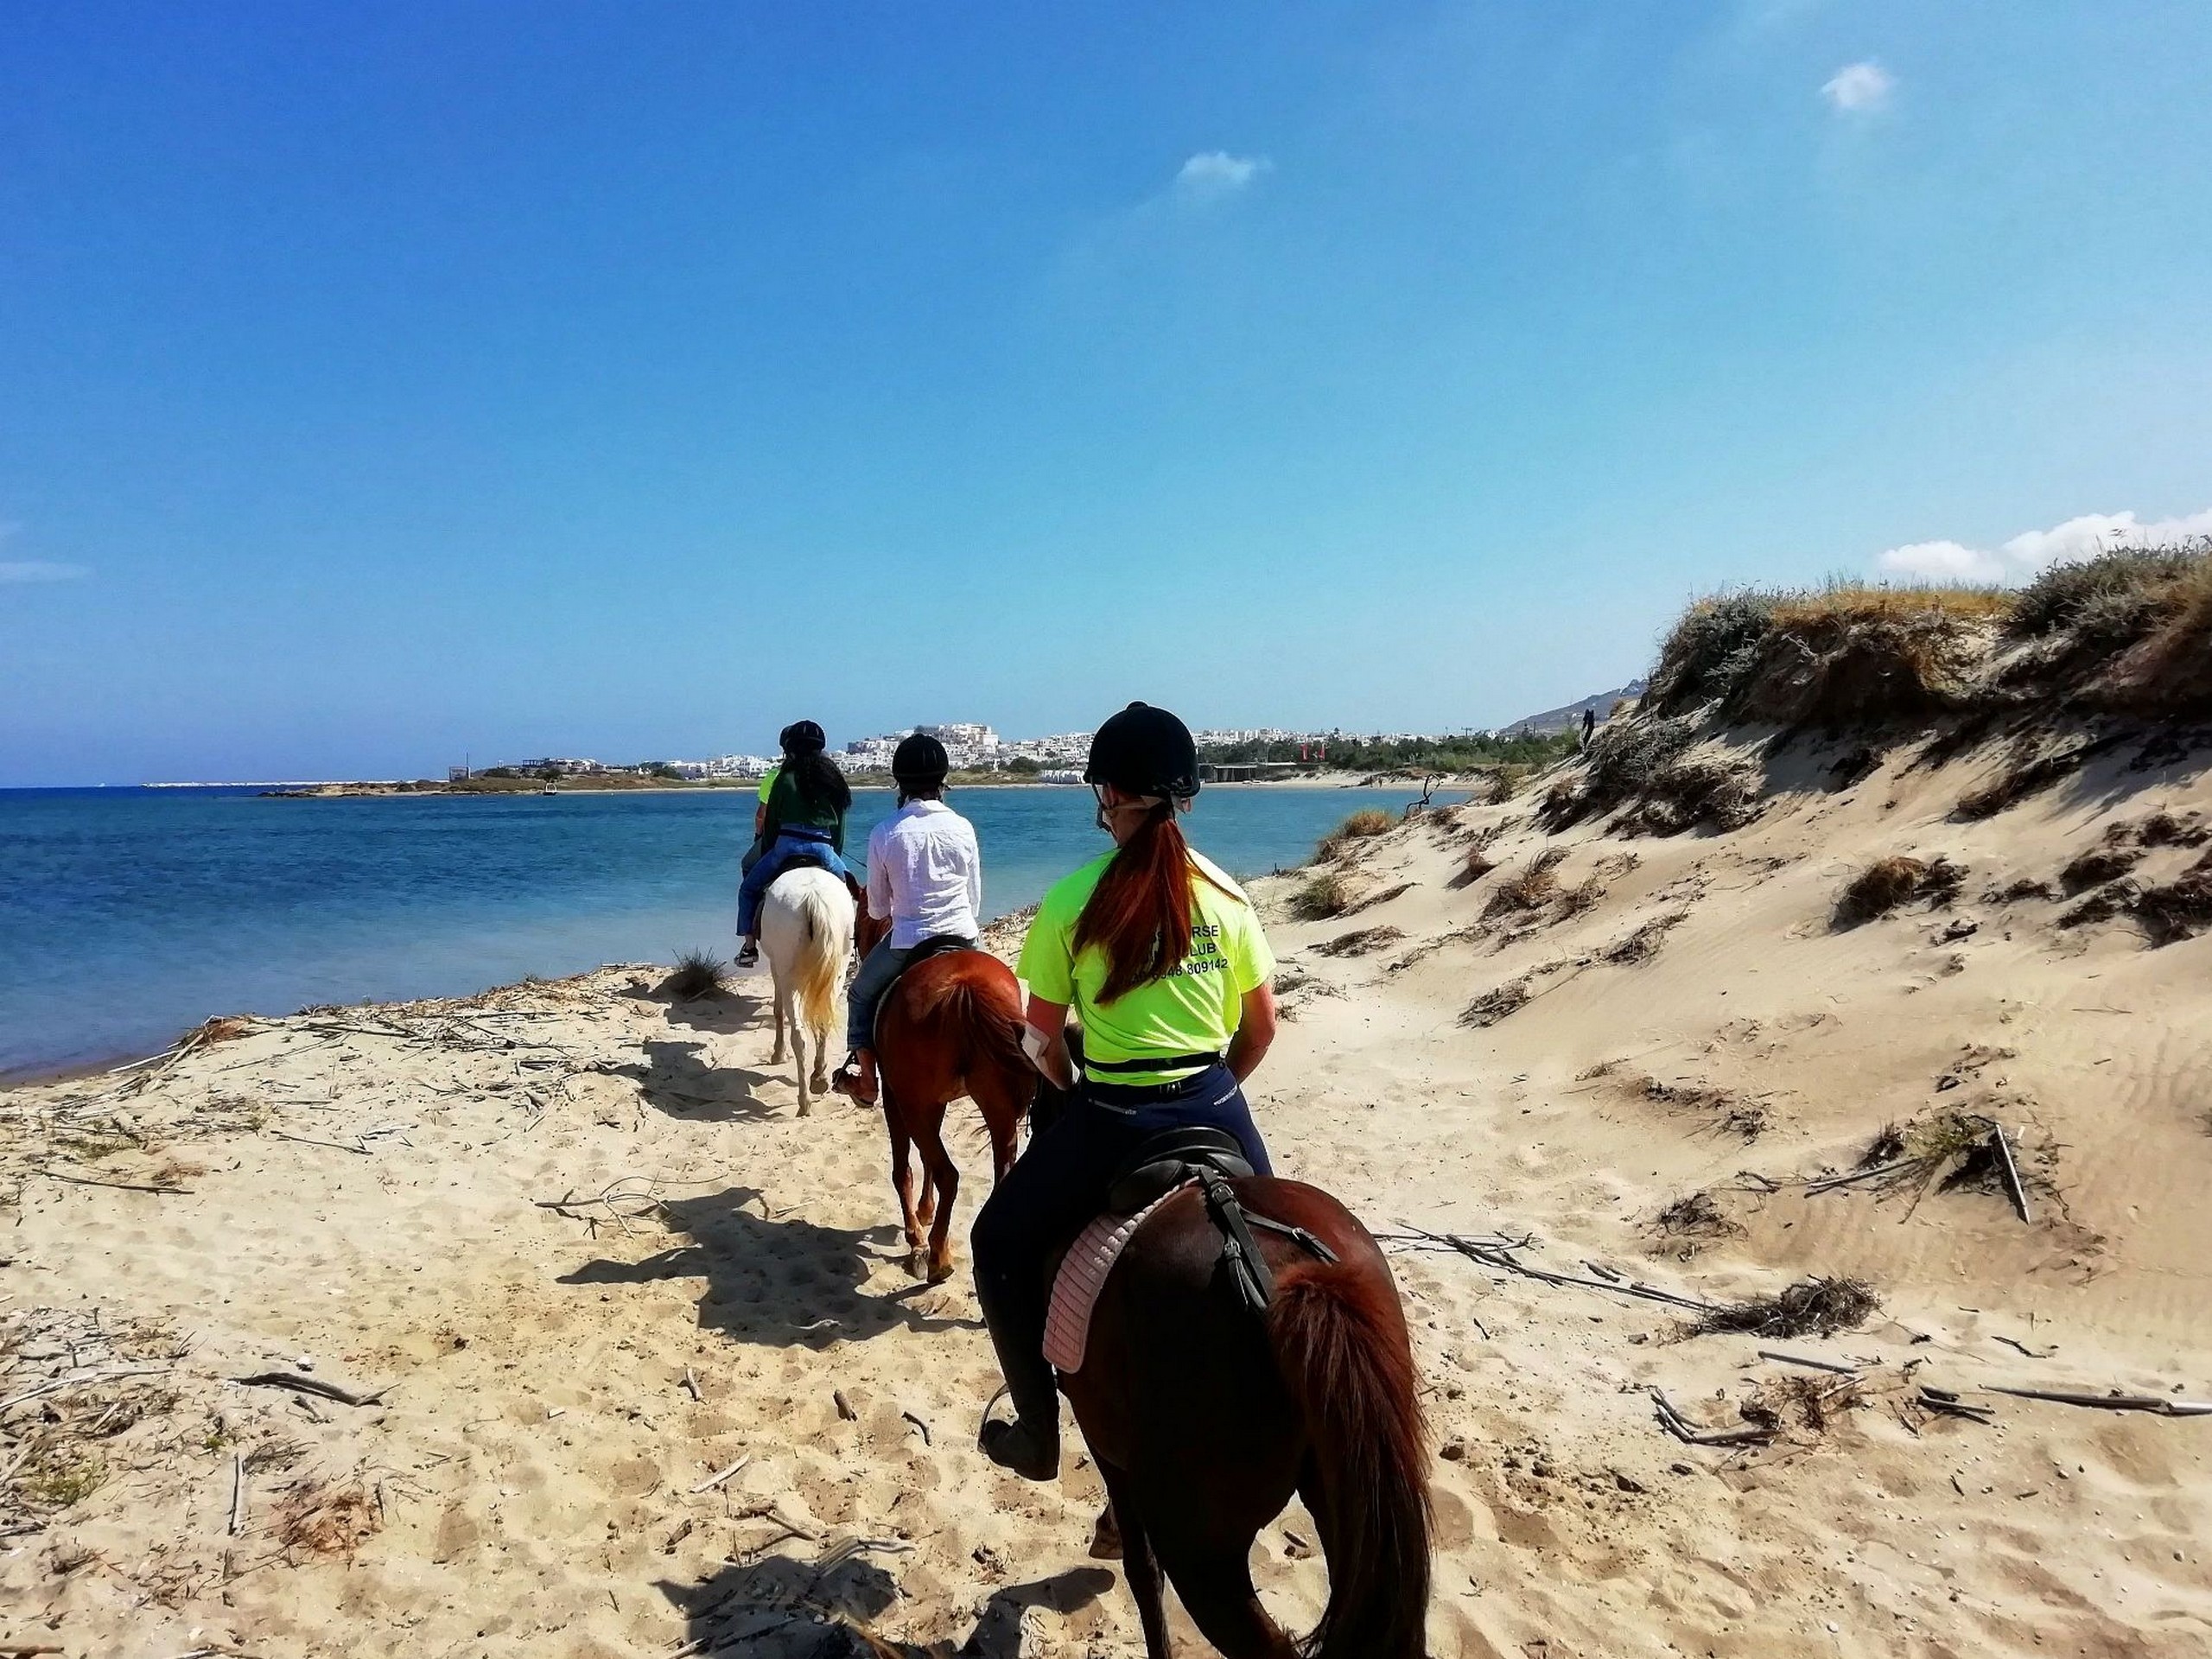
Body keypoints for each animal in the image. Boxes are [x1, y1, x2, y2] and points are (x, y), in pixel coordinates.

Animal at [756, 871, 849, 1119]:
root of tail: (813, 897)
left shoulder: (775, 967)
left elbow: (777, 1011)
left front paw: (778, 1053)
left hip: (790, 979)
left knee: (798, 1036)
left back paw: (804, 1101)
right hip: (838, 973)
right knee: (823, 1022)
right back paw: (819, 1077)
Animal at [858, 898, 1039, 1282]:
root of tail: (965, 987)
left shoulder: (899, 1101)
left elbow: (904, 1168)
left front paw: (916, 1235)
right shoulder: (933, 1104)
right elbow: (926, 1158)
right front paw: (926, 1212)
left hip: (913, 1106)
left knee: (949, 1175)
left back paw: (938, 1256)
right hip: (998, 1110)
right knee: (997, 1172)